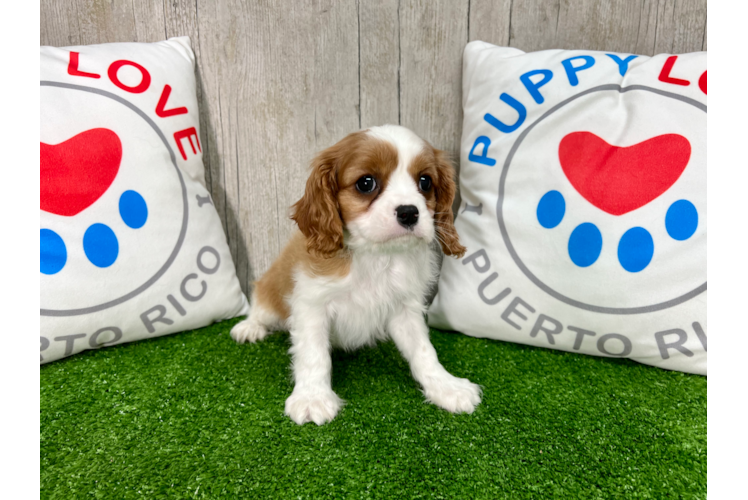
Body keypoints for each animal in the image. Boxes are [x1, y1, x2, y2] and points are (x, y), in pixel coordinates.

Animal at [231, 123, 482, 424]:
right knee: (261, 308)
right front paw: (312, 397)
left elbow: (424, 351)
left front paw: (446, 387)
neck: (376, 255)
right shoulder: (311, 305)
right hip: (270, 292)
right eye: (366, 183)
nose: (409, 212)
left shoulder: (405, 309)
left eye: (425, 182)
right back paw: (249, 327)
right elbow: (314, 355)